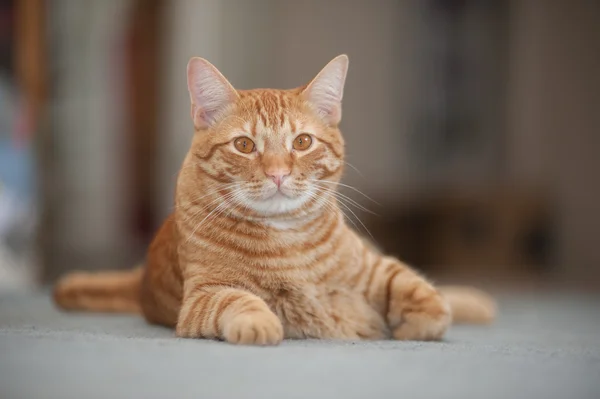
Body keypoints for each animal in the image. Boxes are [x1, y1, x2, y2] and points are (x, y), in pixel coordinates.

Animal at [55, 54, 496, 346]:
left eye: (301, 143)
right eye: (244, 145)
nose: (278, 173)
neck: (288, 240)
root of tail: (139, 281)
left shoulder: (371, 267)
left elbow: (415, 287)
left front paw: (422, 322)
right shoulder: (202, 297)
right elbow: (238, 300)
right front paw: (261, 324)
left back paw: (478, 302)